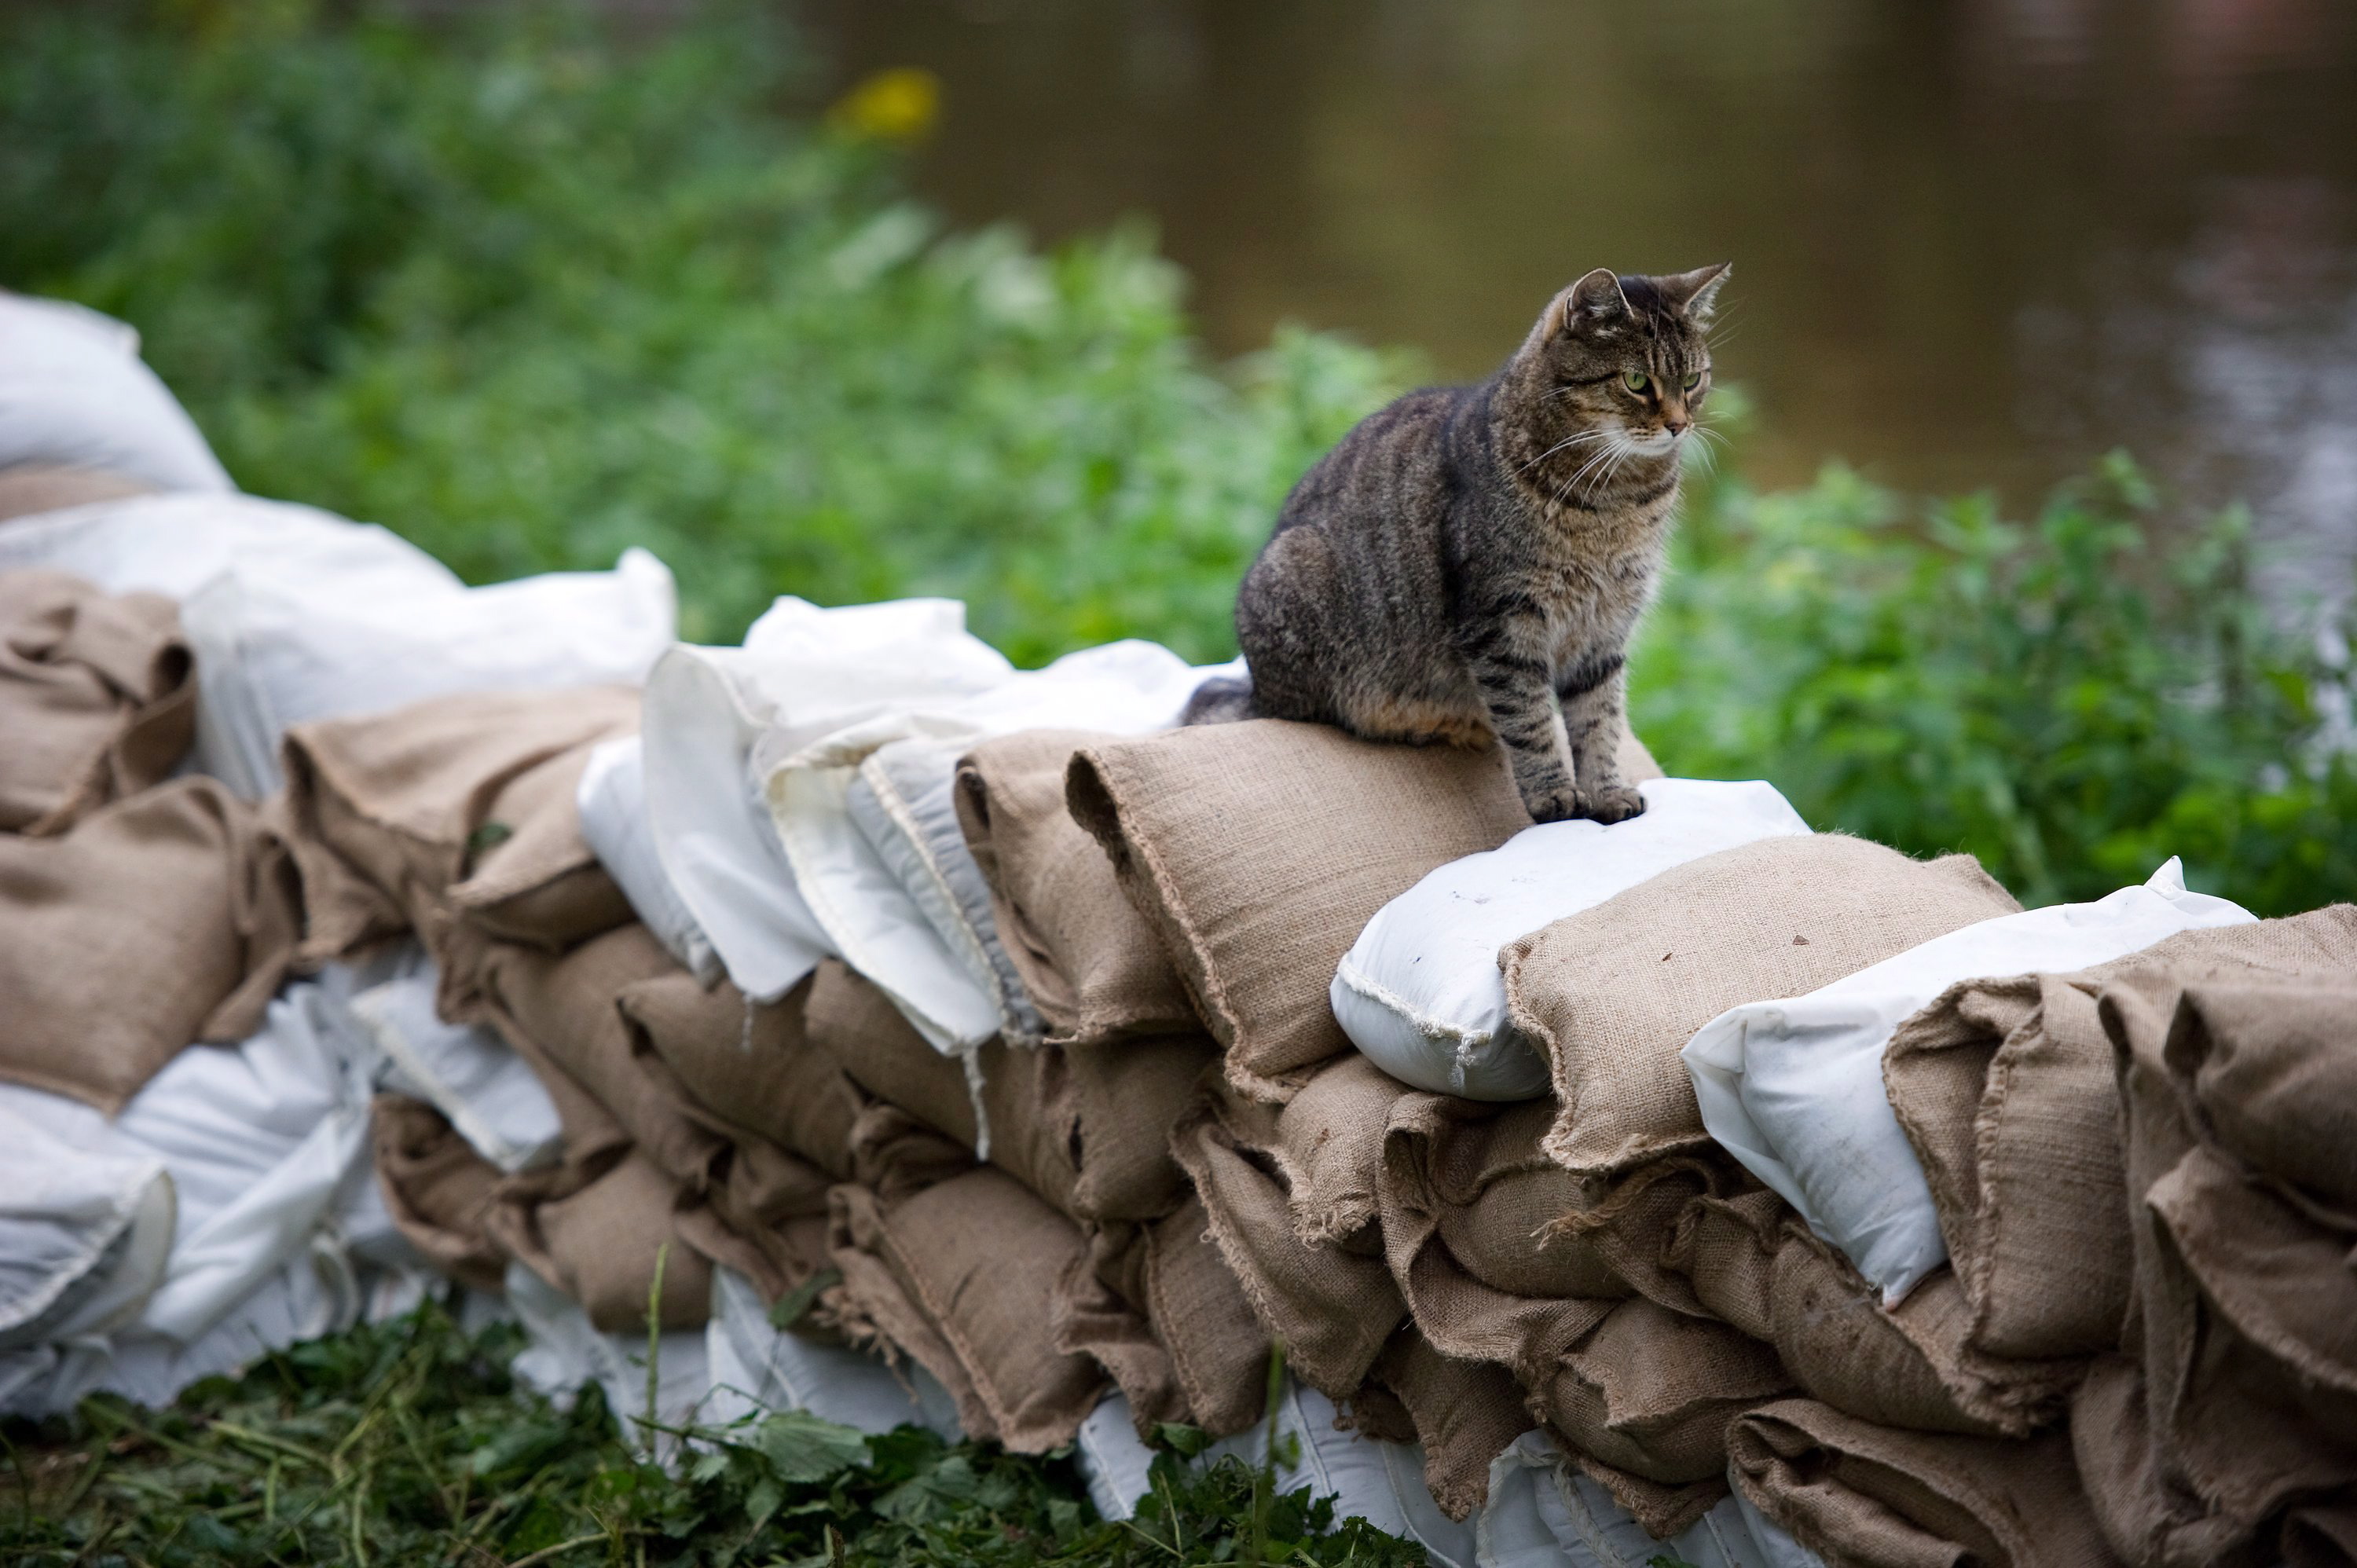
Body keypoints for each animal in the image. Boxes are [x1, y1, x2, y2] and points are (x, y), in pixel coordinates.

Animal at [1188, 262, 1725, 825]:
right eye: (1637, 381)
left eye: (1693, 380)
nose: (1678, 425)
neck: (1621, 500)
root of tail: (1257, 690)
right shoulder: (1503, 622)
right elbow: (1531, 720)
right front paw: (1554, 797)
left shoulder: (1605, 628)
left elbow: (1600, 720)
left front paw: (1606, 792)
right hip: (1299, 573)